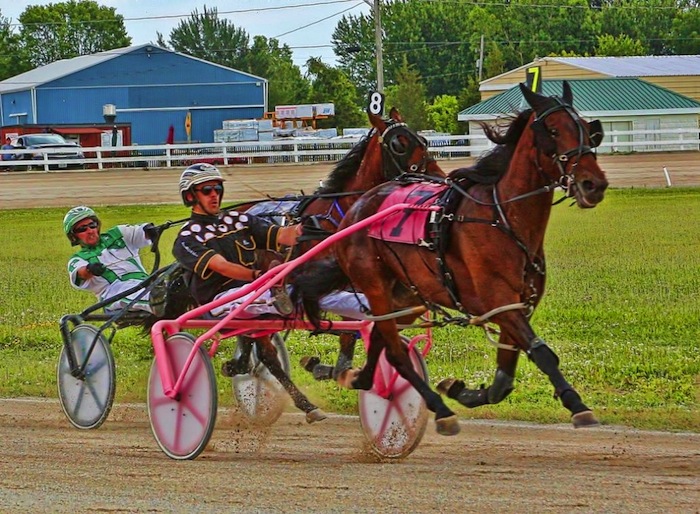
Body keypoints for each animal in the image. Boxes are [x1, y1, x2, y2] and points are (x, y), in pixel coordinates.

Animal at [290, 82, 608, 434]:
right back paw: (439, 410)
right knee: (395, 352)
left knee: (379, 340)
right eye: (552, 130)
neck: (502, 218)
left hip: (404, 295)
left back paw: (357, 377)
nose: (593, 184)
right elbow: (542, 353)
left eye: (587, 130)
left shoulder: (516, 306)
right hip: (374, 286)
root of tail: (358, 210)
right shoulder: (497, 301)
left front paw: (462, 390)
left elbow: (503, 380)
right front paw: (576, 404)